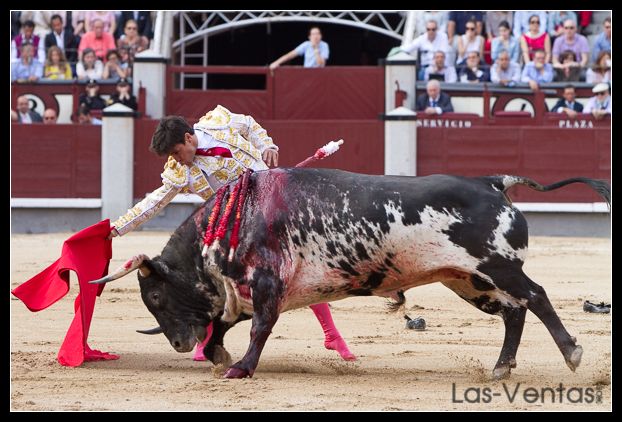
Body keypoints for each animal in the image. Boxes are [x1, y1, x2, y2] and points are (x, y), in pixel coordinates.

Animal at [91, 168, 610, 379]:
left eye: (156, 298)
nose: (179, 344)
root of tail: (492, 182)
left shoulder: (266, 284)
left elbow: (259, 328)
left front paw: (240, 368)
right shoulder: (246, 290)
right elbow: (222, 323)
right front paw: (220, 356)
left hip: (497, 266)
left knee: (536, 297)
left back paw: (572, 353)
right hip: (468, 280)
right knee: (513, 313)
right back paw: (501, 367)